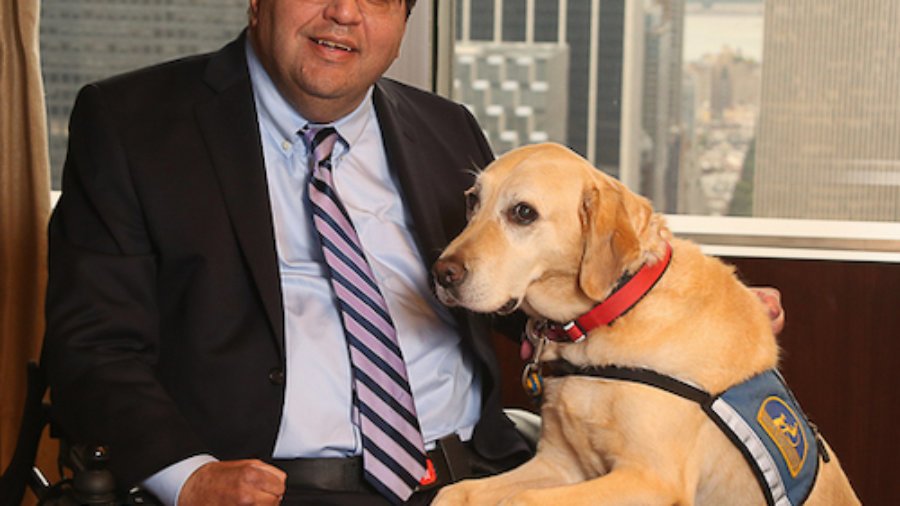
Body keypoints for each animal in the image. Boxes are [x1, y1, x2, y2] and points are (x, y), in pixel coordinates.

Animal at [428, 143, 856, 506]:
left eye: (523, 212)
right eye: (472, 200)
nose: (441, 273)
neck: (611, 315)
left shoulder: (651, 479)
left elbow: (523, 500)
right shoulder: (559, 464)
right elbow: (456, 491)